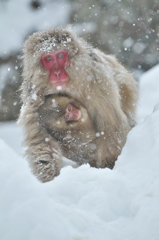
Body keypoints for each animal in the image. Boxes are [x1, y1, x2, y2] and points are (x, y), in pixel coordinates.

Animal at [18, 26, 138, 182]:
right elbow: (40, 140)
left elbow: (111, 125)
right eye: (48, 58)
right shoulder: (33, 92)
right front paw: (49, 177)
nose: (57, 73)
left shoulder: (97, 79)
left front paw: (107, 167)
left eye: (60, 56)